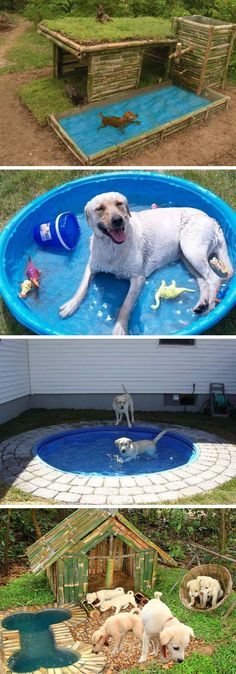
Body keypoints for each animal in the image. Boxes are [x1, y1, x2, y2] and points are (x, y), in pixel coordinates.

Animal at [59, 190, 232, 334]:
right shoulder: (92, 266)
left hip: (192, 250)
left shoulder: (138, 278)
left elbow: (125, 306)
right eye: (99, 208)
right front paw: (71, 305)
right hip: (187, 257)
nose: (118, 220)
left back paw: (210, 309)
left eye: (119, 204)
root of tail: (211, 219)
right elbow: (82, 288)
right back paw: (202, 304)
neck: (112, 247)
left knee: (214, 279)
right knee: (203, 281)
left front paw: (120, 328)